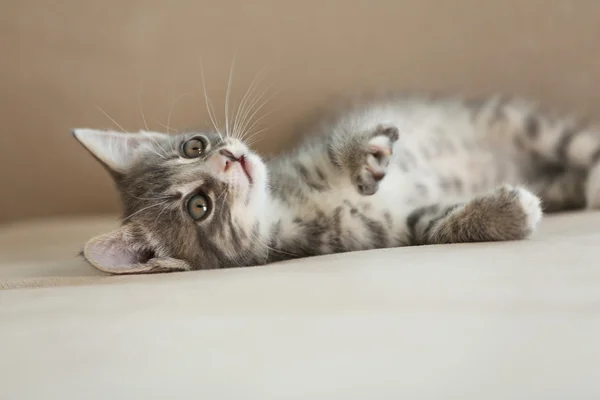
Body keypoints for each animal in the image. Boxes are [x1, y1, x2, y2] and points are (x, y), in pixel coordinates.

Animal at [74, 94, 600, 276]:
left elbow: (341, 145)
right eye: (199, 207)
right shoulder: (386, 229)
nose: (229, 158)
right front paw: (509, 211)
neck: (287, 203)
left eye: (193, 146)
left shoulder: (310, 153)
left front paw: (364, 153)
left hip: (521, 123)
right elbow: (436, 224)